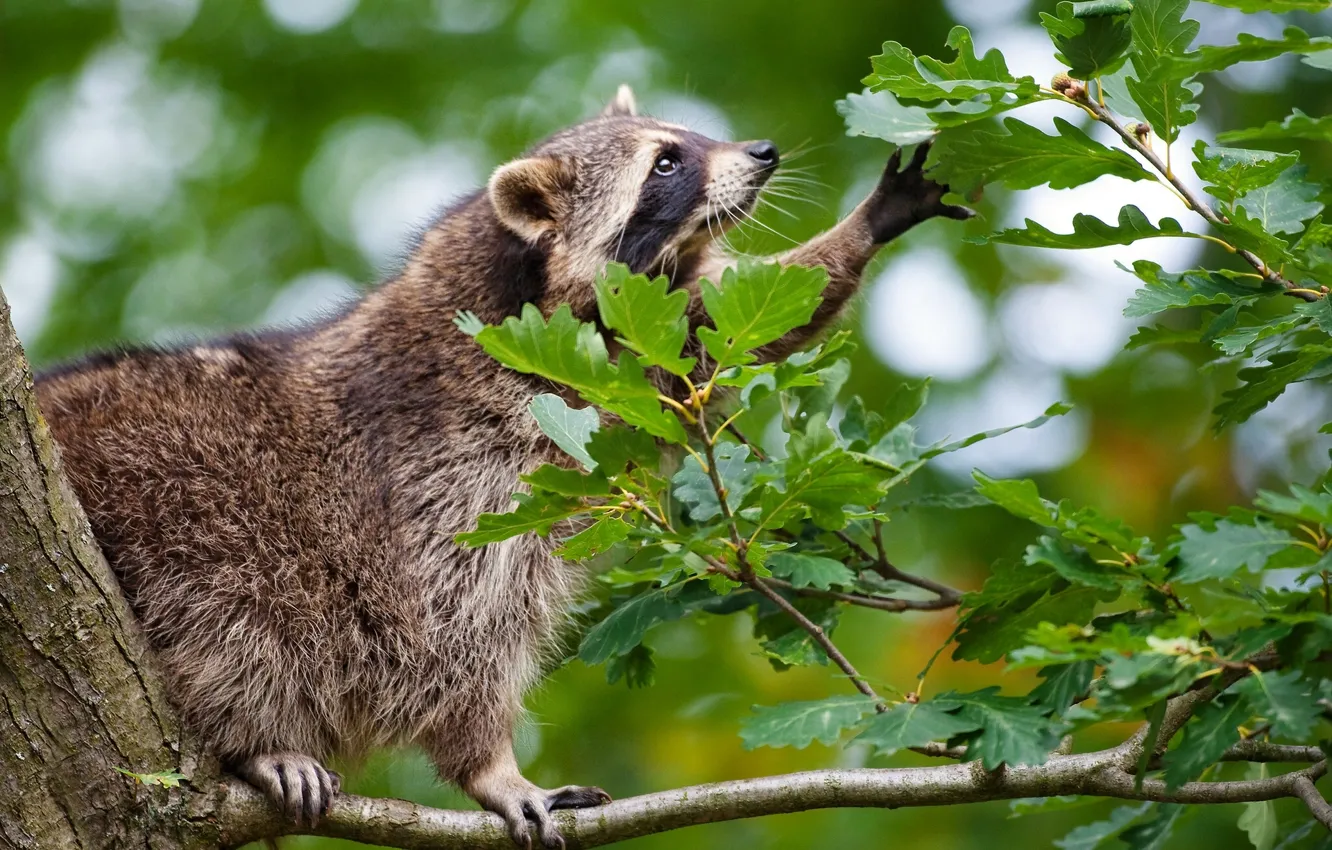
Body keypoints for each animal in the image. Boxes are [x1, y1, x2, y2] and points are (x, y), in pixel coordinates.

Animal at [31, 83, 969, 847]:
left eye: (690, 133)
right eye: (666, 161)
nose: (764, 153)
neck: (523, 285)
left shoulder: (644, 353)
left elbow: (748, 317)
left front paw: (863, 224)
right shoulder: (453, 465)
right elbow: (453, 630)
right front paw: (491, 767)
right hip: (179, 499)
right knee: (234, 616)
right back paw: (259, 741)